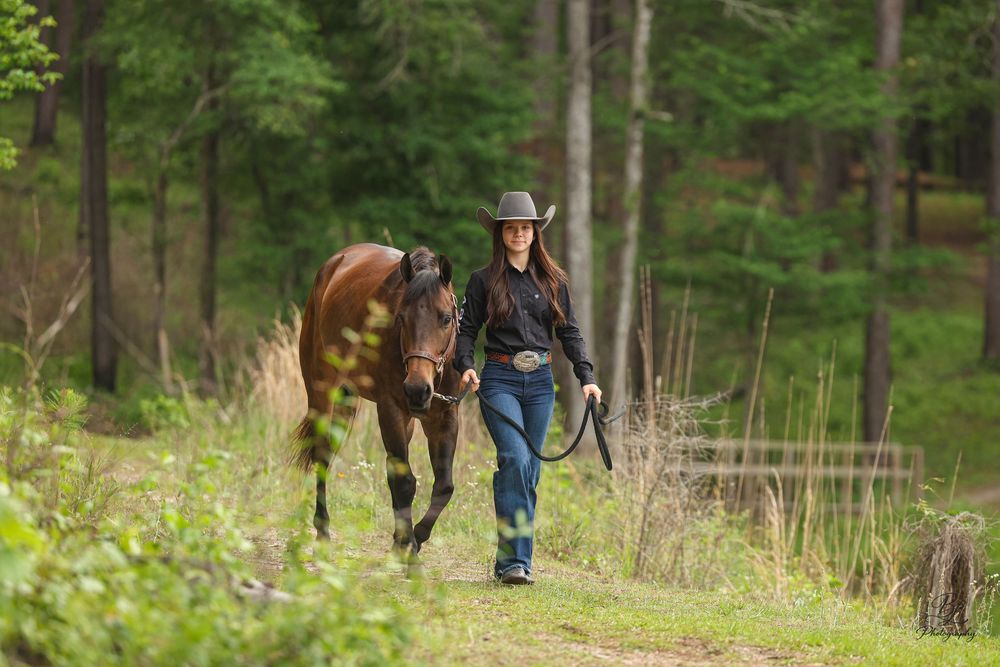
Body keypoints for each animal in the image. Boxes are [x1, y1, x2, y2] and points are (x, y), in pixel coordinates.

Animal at [293, 243, 462, 563]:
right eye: (401, 318)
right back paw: (322, 534)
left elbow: (444, 486)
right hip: (324, 393)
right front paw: (410, 548)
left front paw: (412, 539)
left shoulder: (444, 416)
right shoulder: (390, 410)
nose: (417, 389)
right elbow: (405, 483)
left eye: (447, 318)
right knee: (322, 456)